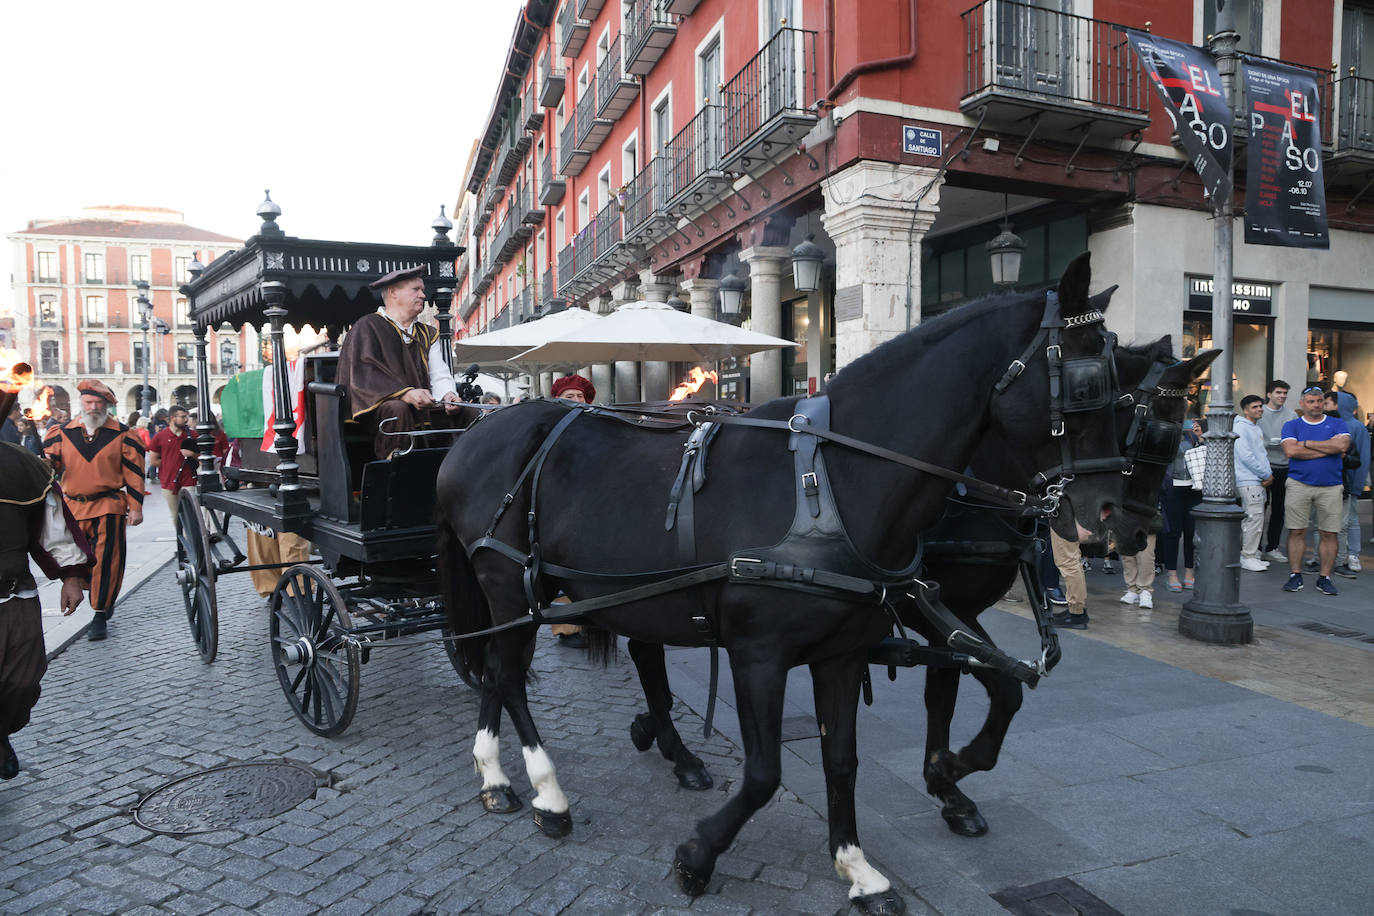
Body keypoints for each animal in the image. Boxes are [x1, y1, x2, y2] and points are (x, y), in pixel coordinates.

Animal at [436, 252, 1137, 916]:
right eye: (1090, 382)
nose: (1111, 513)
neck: (833, 480)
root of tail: (474, 434)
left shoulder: (843, 652)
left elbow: (844, 759)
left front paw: (859, 867)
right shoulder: (760, 654)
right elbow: (764, 772)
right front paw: (698, 855)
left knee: (507, 667)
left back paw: (497, 777)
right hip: (510, 587)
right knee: (508, 673)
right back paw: (547, 793)